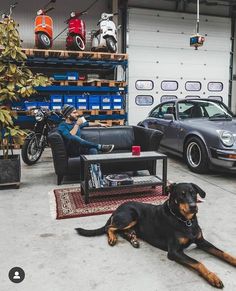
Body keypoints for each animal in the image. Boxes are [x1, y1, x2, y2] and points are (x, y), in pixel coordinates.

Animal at [75, 184, 236, 288]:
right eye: (181, 195)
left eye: (193, 193)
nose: (193, 207)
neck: (185, 220)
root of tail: (117, 209)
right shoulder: (174, 251)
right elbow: (198, 263)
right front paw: (213, 277)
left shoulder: (201, 241)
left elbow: (223, 253)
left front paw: (233, 260)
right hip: (131, 215)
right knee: (109, 227)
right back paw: (113, 238)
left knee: (123, 231)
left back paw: (133, 240)